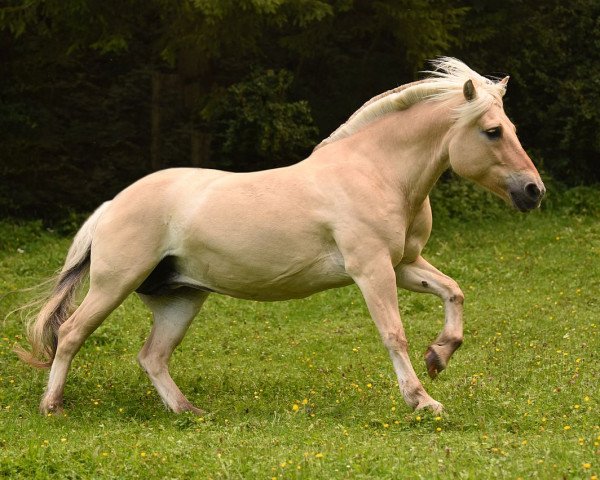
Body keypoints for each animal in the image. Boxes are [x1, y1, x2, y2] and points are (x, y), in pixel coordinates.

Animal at [17, 58, 544, 414]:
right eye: (493, 131)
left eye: (511, 127)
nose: (533, 191)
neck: (377, 172)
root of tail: (112, 205)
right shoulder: (372, 269)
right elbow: (393, 333)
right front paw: (422, 399)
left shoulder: (403, 264)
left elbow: (454, 292)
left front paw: (440, 356)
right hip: (115, 284)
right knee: (70, 334)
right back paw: (52, 406)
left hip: (180, 297)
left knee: (152, 356)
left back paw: (190, 412)